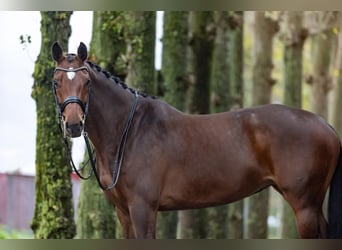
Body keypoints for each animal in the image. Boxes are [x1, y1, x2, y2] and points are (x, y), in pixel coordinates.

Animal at [51, 42, 342, 239]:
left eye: (87, 81)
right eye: (56, 82)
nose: (74, 124)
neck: (131, 131)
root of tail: (325, 125)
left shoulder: (143, 208)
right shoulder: (124, 212)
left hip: (304, 206)